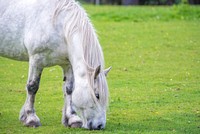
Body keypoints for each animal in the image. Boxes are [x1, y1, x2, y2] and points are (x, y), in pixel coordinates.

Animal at [0, 0, 111, 130]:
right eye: (97, 95)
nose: (100, 125)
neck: (59, 25)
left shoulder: (67, 64)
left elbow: (69, 89)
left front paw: (72, 119)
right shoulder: (36, 60)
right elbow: (32, 87)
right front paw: (31, 118)